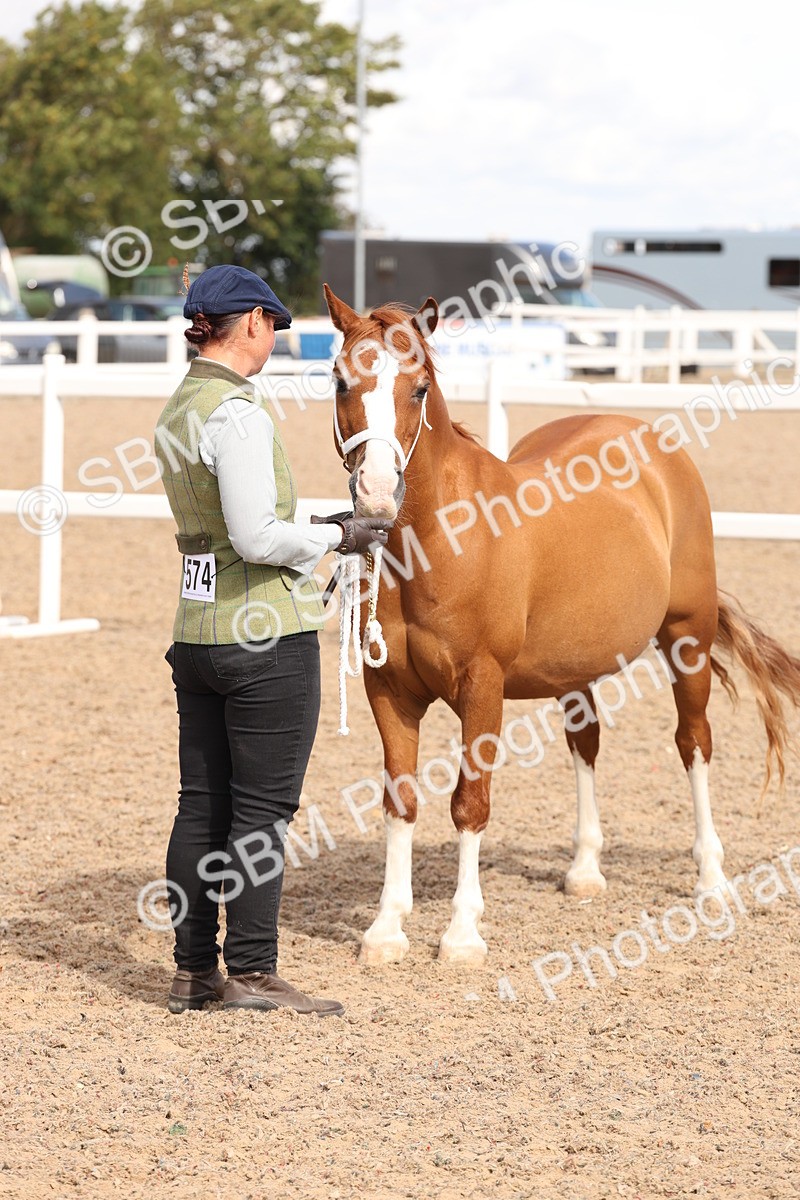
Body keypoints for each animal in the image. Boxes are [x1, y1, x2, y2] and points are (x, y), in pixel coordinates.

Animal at [323, 284, 800, 966]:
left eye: (418, 388)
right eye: (341, 381)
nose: (378, 495)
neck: (443, 538)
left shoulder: (482, 688)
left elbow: (469, 804)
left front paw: (462, 934)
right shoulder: (389, 690)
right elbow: (400, 799)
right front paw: (386, 929)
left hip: (688, 638)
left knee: (694, 744)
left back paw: (711, 880)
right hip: (577, 667)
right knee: (587, 744)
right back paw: (585, 871)